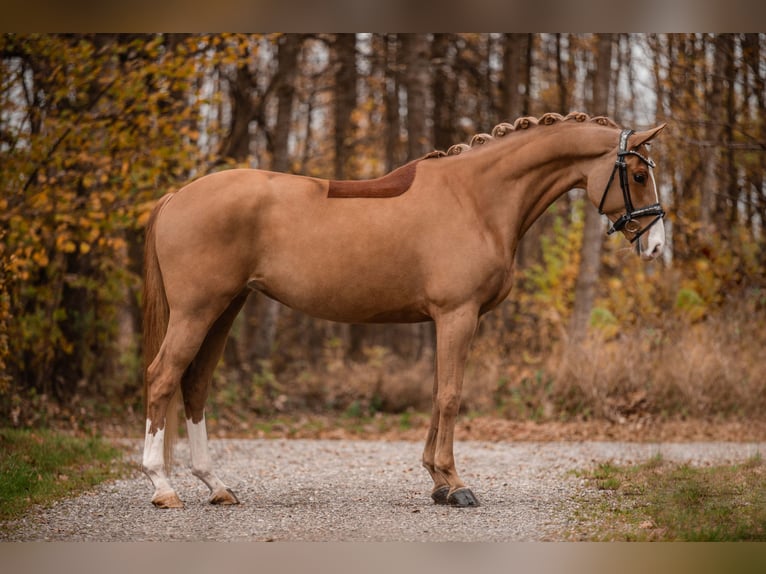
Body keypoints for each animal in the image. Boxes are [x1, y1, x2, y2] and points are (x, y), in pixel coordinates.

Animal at [142, 112, 664, 508]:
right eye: (639, 175)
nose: (656, 245)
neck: (476, 198)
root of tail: (176, 196)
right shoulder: (457, 315)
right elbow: (450, 395)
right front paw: (456, 485)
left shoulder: (447, 319)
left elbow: (436, 393)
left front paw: (437, 482)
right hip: (197, 310)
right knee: (163, 376)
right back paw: (162, 486)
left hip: (225, 308)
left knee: (195, 384)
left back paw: (216, 485)